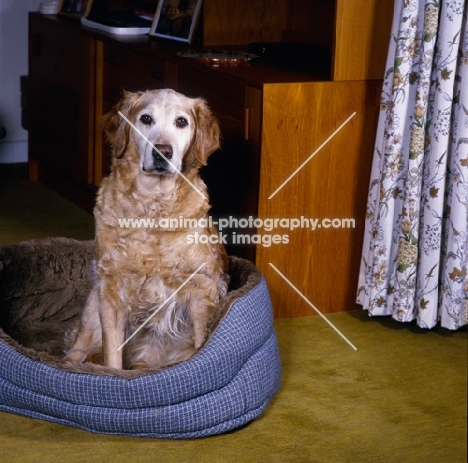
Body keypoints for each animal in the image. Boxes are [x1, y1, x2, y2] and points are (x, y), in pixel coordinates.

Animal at [63, 89, 229, 372]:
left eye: (181, 122)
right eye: (146, 119)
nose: (162, 152)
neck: (153, 208)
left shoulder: (202, 290)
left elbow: (200, 343)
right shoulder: (110, 292)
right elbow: (112, 358)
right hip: (92, 305)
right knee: (78, 349)